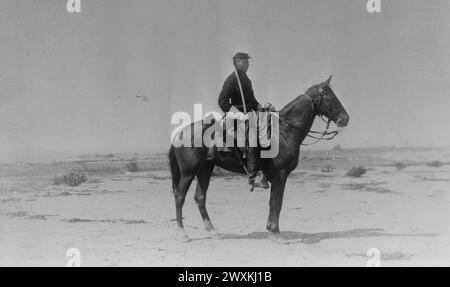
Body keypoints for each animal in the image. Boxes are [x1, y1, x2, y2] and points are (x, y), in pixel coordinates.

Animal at [169, 75, 348, 242]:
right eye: (328, 95)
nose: (345, 118)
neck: (284, 132)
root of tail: (179, 133)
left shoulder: (274, 176)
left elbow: (272, 202)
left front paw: (270, 229)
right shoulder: (281, 174)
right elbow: (278, 203)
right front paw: (276, 233)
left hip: (205, 169)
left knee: (200, 197)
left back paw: (213, 231)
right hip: (188, 172)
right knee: (179, 197)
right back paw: (182, 233)